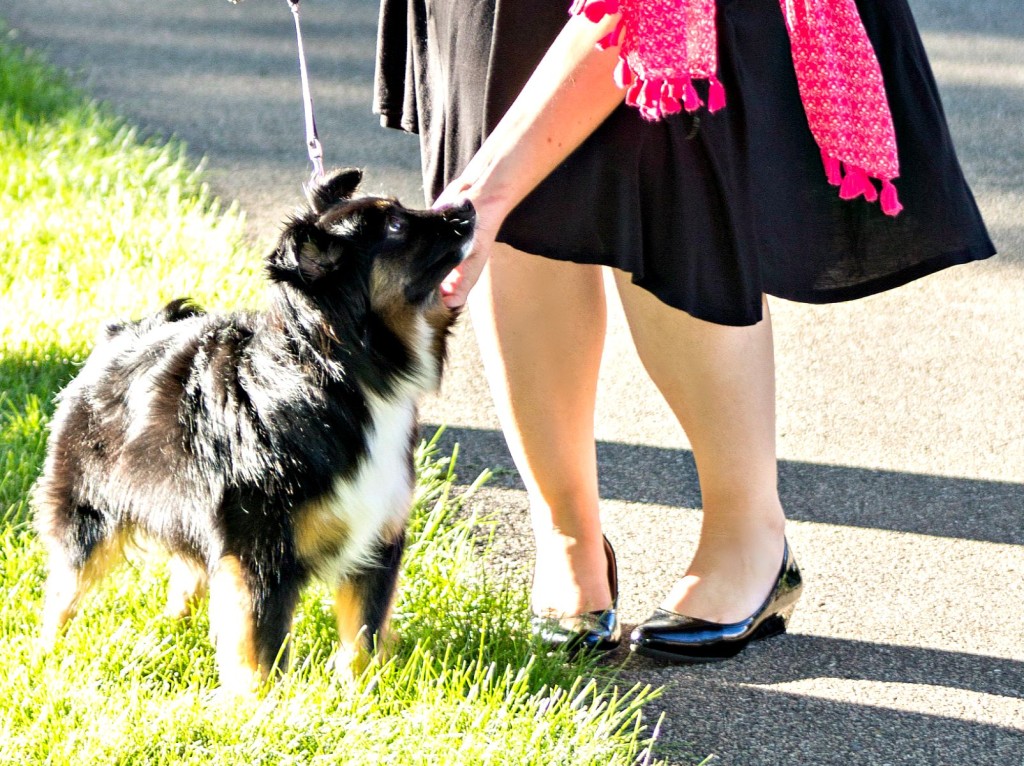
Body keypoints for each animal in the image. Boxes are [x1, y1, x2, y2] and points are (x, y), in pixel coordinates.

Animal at [32, 167, 475, 692]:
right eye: (396, 228)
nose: (466, 207)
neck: (340, 376)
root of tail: (121, 335)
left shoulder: (375, 538)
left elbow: (362, 637)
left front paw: (359, 695)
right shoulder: (259, 550)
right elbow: (260, 646)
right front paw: (259, 704)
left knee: (187, 571)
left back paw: (170, 630)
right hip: (88, 511)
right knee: (65, 588)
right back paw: (45, 654)